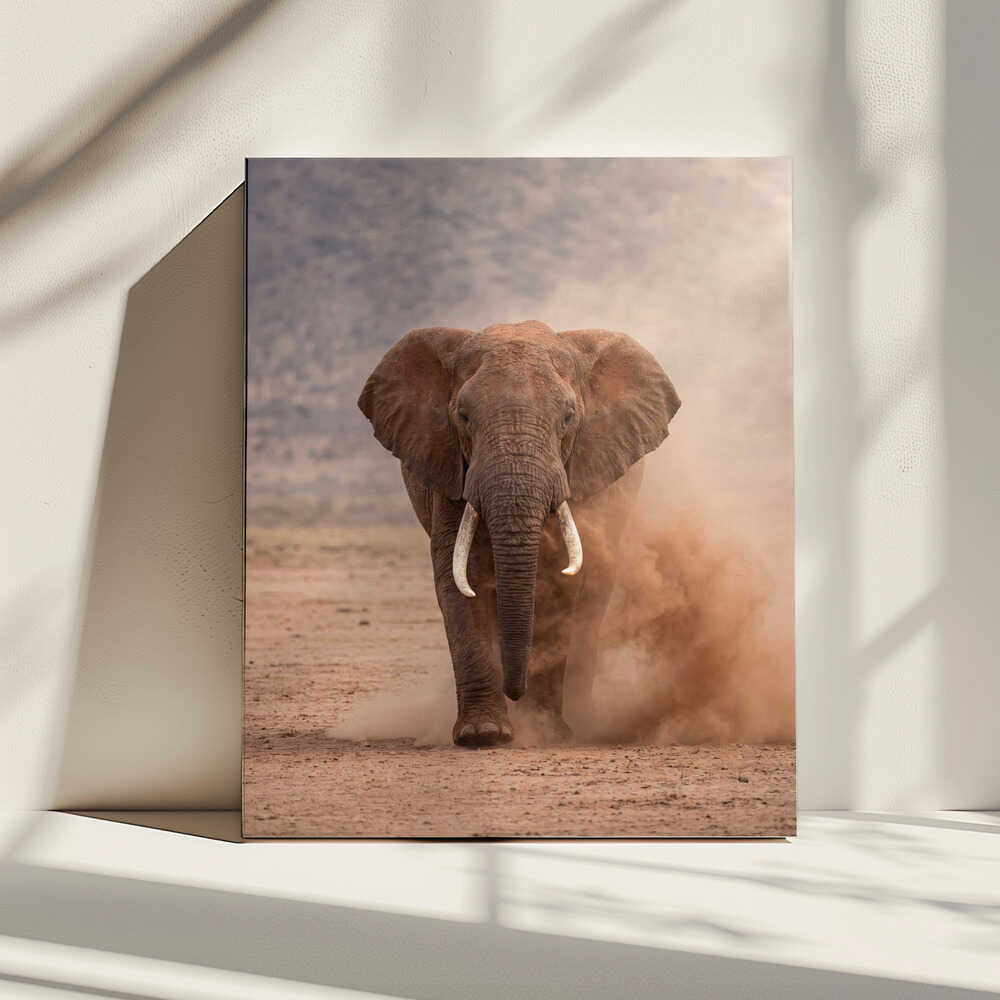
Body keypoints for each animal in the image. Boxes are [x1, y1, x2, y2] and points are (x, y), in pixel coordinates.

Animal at [358, 320, 680, 747]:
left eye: (569, 417)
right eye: (462, 416)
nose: (516, 692)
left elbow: (561, 584)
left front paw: (547, 734)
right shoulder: (450, 473)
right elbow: (459, 580)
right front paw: (484, 734)